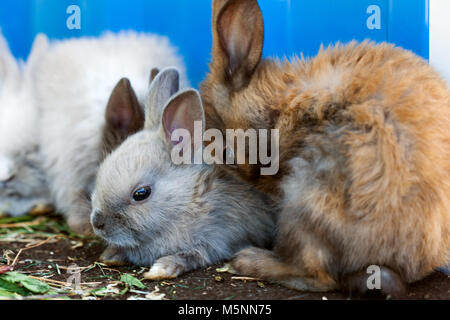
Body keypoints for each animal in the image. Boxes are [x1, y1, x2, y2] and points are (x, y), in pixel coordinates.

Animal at [90, 68, 274, 280]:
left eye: (141, 193)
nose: (97, 223)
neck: (189, 199)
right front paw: (111, 255)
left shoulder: (218, 239)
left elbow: (193, 254)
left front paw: (161, 269)